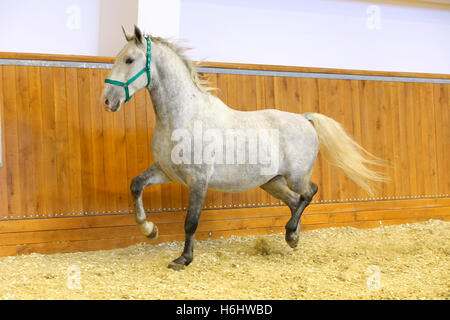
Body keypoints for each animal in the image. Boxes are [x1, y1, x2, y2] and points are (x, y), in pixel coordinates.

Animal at [102, 26, 386, 270]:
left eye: (129, 60)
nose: (107, 100)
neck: (183, 116)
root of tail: (304, 118)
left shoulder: (199, 179)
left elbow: (191, 221)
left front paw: (183, 259)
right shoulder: (166, 171)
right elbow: (136, 185)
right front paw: (149, 230)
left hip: (296, 176)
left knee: (309, 192)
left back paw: (291, 234)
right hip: (271, 182)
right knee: (295, 201)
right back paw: (292, 237)